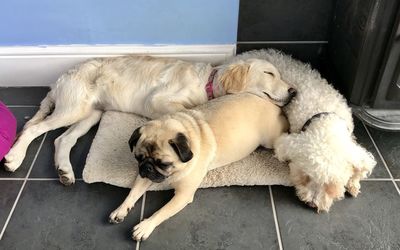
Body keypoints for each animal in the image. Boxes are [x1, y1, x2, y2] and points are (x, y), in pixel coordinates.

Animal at [3, 55, 294, 185]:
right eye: (269, 73)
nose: (294, 91)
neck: (207, 83)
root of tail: (58, 80)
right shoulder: (157, 100)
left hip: (90, 113)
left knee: (62, 140)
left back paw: (65, 171)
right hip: (74, 107)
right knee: (33, 129)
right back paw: (14, 158)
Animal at [108, 93, 290, 241]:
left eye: (164, 164)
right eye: (138, 158)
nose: (147, 167)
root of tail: (273, 106)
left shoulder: (183, 195)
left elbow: (161, 212)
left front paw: (145, 226)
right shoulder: (145, 177)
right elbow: (132, 193)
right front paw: (121, 209)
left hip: (270, 140)